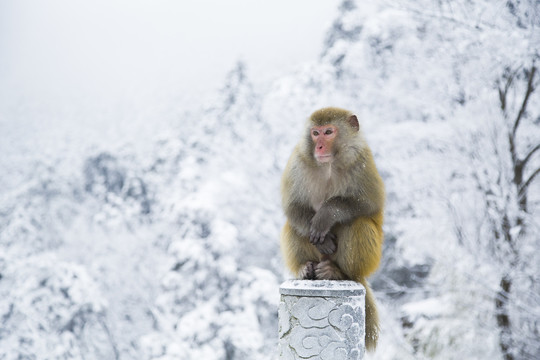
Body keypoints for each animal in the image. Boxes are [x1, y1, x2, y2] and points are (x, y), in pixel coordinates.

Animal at [278, 106, 384, 352]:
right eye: (315, 133)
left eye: (329, 132)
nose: (319, 147)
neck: (328, 165)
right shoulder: (297, 161)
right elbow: (293, 206)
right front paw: (321, 237)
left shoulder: (363, 161)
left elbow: (369, 203)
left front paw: (326, 214)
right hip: (316, 255)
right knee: (294, 225)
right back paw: (305, 269)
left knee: (358, 222)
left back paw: (340, 273)